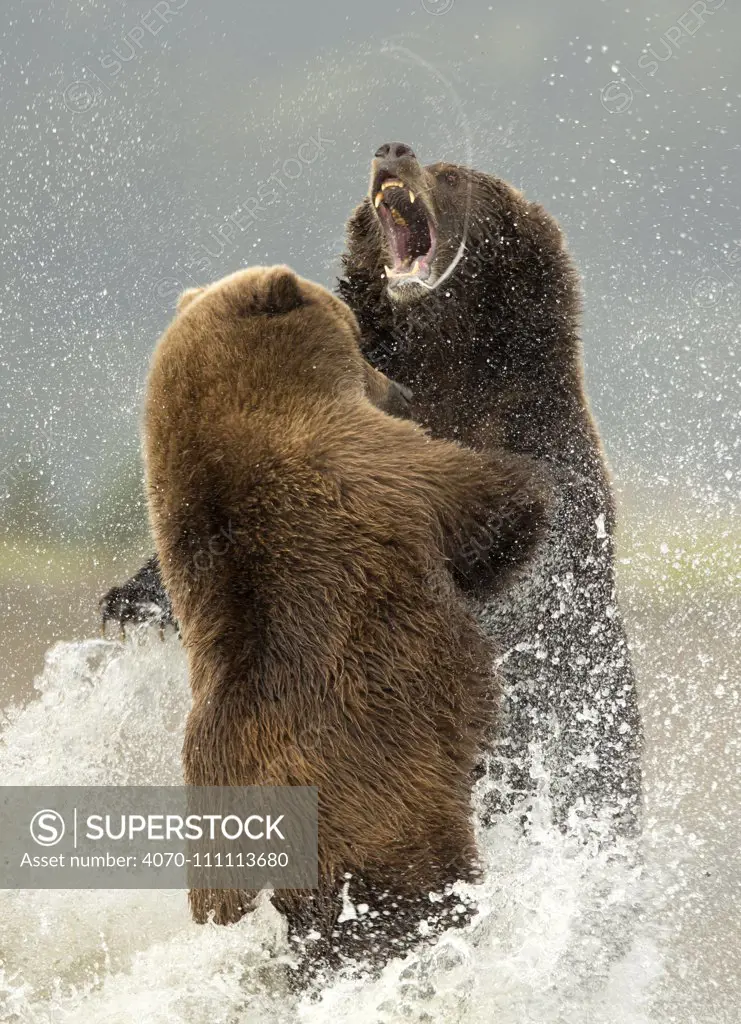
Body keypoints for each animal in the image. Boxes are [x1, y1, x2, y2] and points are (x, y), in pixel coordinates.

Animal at [140, 264, 544, 966]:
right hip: (384, 818)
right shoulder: (370, 467)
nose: (402, 390)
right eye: (355, 335)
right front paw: (544, 480)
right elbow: (490, 512)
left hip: (220, 868)